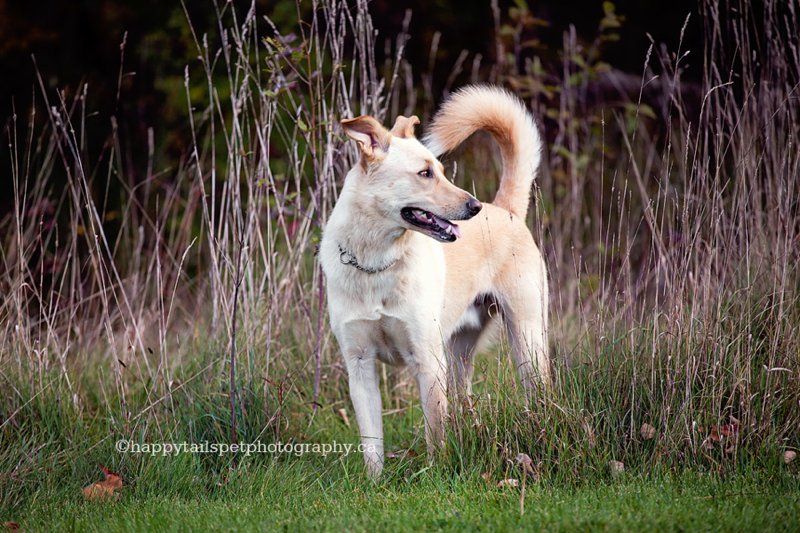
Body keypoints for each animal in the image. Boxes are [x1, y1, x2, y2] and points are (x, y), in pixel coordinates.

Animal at [318, 85, 552, 476]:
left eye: (440, 170)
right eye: (424, 173)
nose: (473, 207)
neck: (376, 262)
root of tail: (505, 210)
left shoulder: (427, 361)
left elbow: (435, 432)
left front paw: (435, 475)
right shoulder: (360, 365)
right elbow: (371, 441)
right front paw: (374, 482)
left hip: (526, 338)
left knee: (537, 389)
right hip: (458, 356)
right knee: (464, 403)